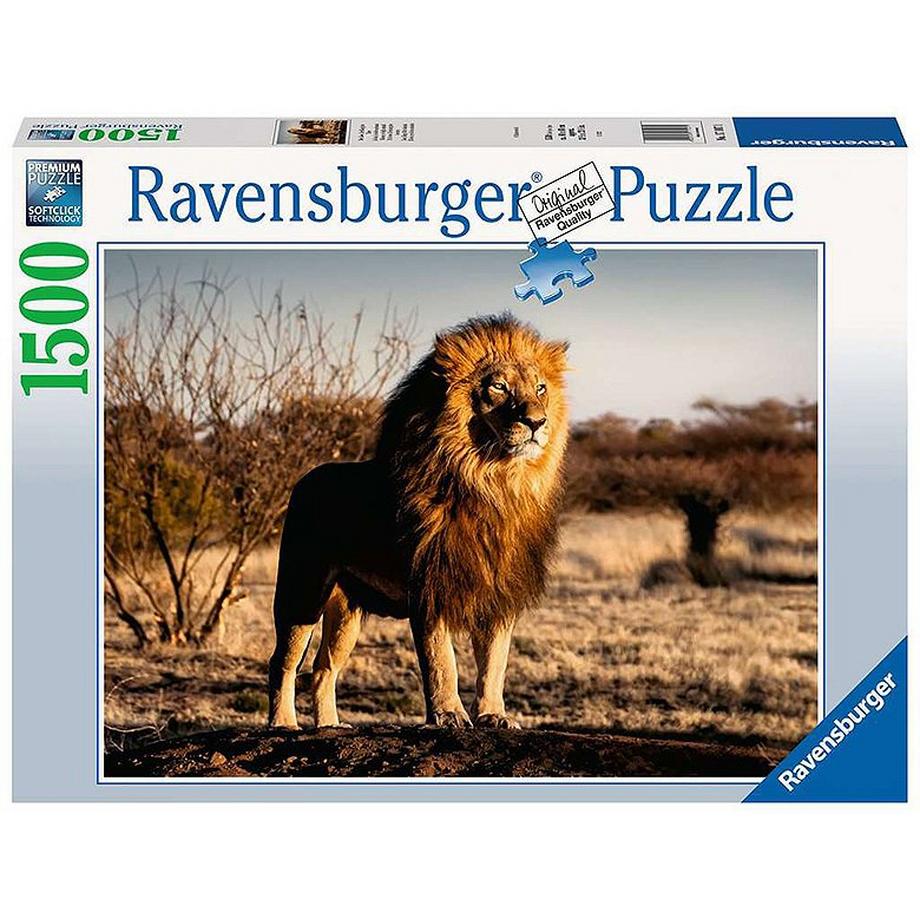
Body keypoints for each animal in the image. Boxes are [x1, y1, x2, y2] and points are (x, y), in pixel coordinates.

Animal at [268, 313, 569, 730]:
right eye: (498, 386)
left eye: (541, 388)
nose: (537, 422)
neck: (493, 484)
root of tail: (306, 478)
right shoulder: (429, 587)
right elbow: (442, 661)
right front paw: (449, 715)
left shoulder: (499, 591)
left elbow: (494, 663)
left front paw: (493, 715)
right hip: (302, 591)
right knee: (283, 661)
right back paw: (282, 723)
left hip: (345, 610)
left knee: (323, 668)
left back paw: (329, 725)